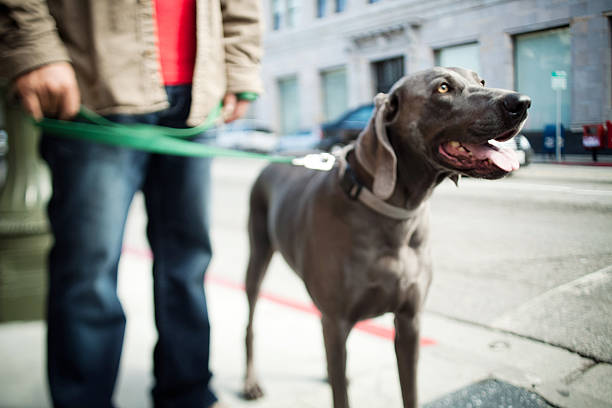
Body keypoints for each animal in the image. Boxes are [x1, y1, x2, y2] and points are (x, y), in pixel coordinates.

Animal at [241, 67, 528, 408]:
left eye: (480, 81)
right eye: (443, 88)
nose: (522, 102)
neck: (395, 217)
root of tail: (275, 157)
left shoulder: (409, 321)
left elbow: (409, 391)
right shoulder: (337, 320)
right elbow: (341, 395)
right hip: (258, 254)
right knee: (250, 323)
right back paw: (250, 383)